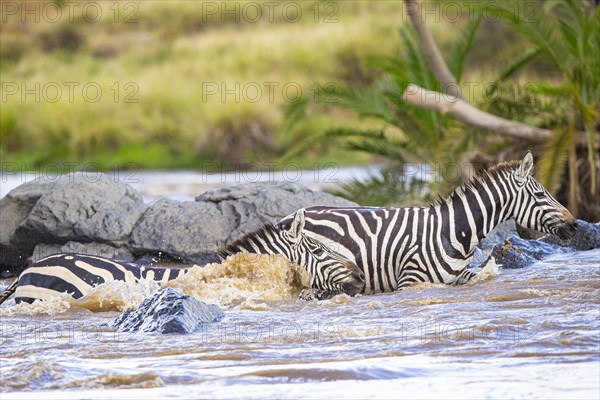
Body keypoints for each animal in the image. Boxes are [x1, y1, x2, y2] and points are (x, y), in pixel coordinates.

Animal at [276, 153, 576, 294]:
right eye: (541, 195)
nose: (574, 225)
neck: (455, 231)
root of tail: (287, 219)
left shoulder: (458, 278)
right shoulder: (410, 281)